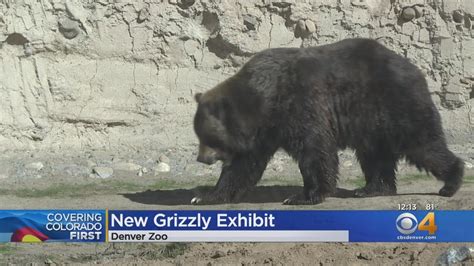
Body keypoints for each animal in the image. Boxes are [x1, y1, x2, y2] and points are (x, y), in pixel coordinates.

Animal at [190, 38, 462, 206]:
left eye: (208, 137)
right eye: (199, 135)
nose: (201, 158)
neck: (264, 101)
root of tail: (415, 69)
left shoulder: (299, 104)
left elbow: (314, 149)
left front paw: (302, 196)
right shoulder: (263, 132)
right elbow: (242, 166)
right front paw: (206, 196)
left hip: (394, 104)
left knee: (423, 145)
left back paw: (450, 182)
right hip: (371, 123)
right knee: (374, 155)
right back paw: (370, 188)